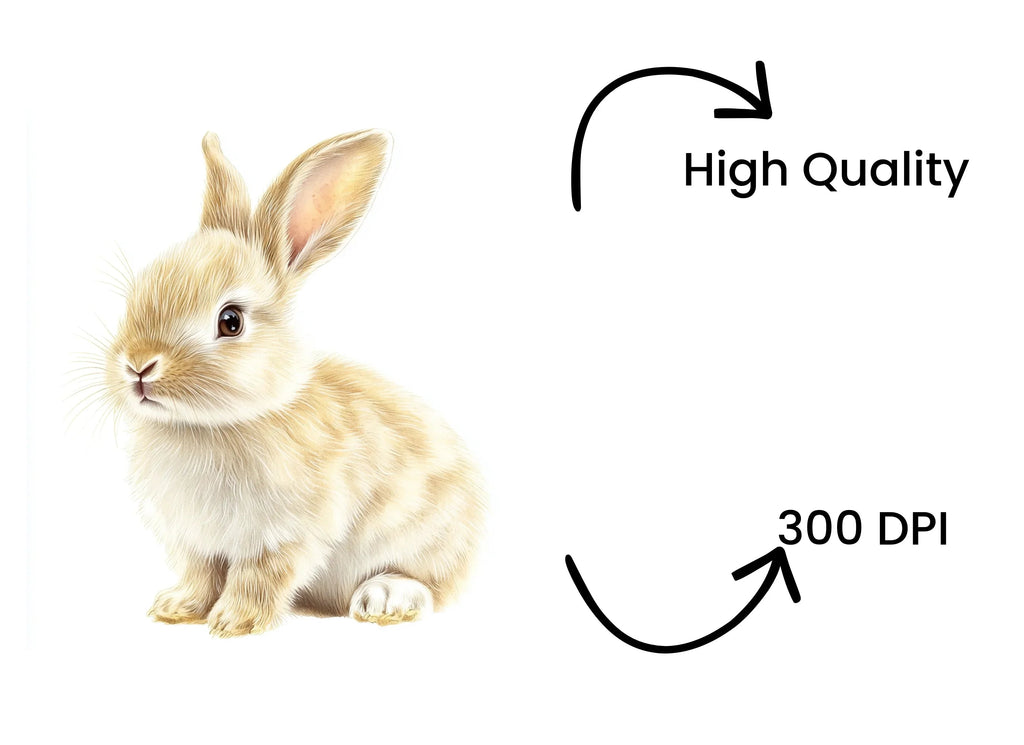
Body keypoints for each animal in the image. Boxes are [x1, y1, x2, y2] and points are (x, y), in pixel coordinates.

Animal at [102, 130, 486, 637]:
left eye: (230, 321)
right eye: (136, 295)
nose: (138, 365)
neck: (210, 425)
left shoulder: (285, 533)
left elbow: (259, 577)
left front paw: (234, 622)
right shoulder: (197, 543)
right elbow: (201, 575)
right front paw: (176, 608)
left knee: (429, 584)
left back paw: (386, 599)